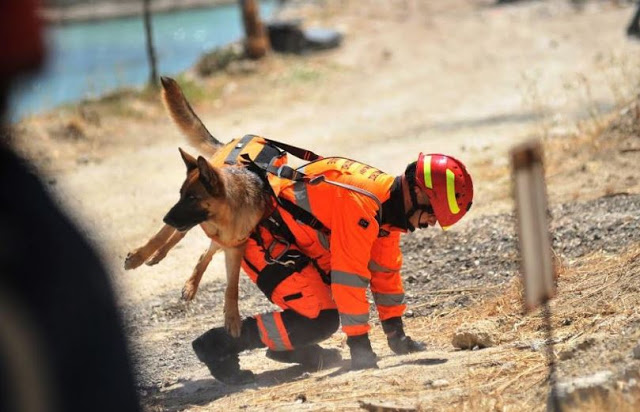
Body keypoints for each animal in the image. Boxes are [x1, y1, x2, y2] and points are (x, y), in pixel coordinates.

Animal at [125, 77, 270, 338]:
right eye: (182, 195)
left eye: (192, 198)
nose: (165, 218)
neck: (224, 215)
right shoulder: (183, 218)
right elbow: (158, 238)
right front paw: (137, 257)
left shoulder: (234, 247)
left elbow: (232, 286)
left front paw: (232, 317)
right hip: (187, 224)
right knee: (175, 238)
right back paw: (154, 256)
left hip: (211, 236)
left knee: (204, 252)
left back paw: (190, 284)